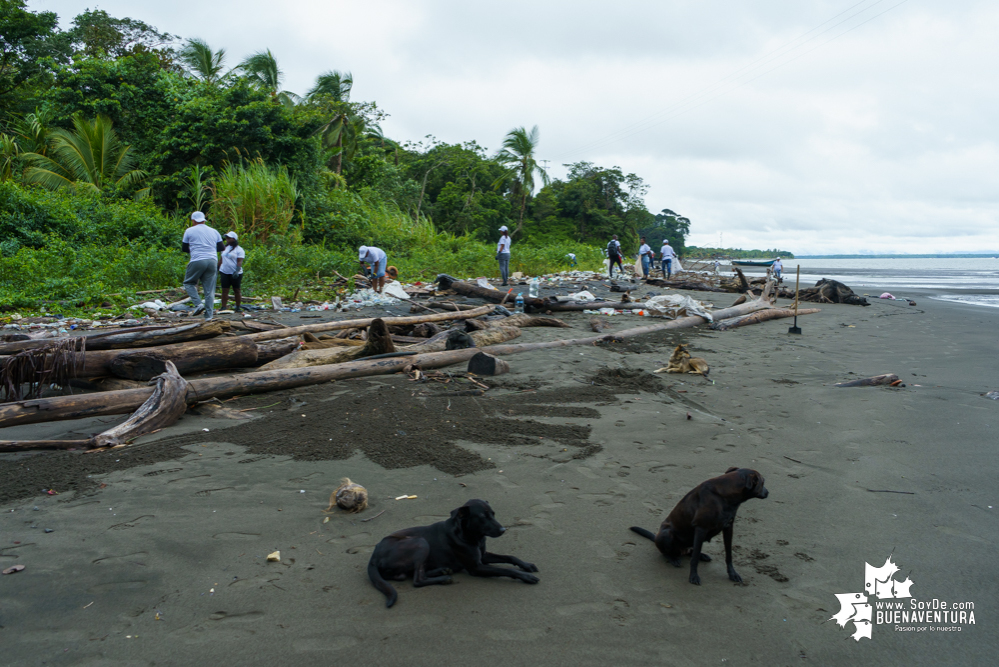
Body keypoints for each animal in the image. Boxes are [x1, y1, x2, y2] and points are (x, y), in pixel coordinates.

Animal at [368, 498, 540, 608]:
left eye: (493, 513)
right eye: (483, 516)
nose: (504, 530)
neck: (470, 535)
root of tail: (373, 557)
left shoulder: (483, 556)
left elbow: (509, 556)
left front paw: (526, 565)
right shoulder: (476, 567)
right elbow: (506, 570)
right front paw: (526, 576)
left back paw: (442, 571)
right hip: (420, 542)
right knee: (417, 579)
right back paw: (443, 578)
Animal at [632, 468, 772, 588]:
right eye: (763, 482)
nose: (768, 492)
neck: (725, 496)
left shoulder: (728, 528)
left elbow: (729, 555)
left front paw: (732, 574)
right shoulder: (701, 528)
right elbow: (694, 560)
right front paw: (693, 576)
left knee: (692, 551)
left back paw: (702, 555)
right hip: (667, 534)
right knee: (667, 552)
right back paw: (673, 559)